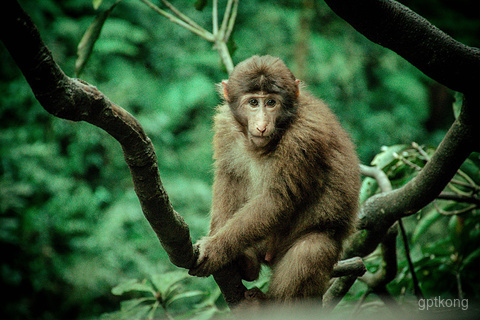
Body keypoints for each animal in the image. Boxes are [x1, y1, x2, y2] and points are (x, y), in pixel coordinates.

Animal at [188, 55, 360, 302]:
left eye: (271, 103)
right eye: (253, 103)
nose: (261, 125)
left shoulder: (303, 138)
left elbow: (277, 200)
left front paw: (215, 249)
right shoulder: (226, 126)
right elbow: (229, 177)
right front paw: (223, 247)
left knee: (312, 248)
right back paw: (247, 263)